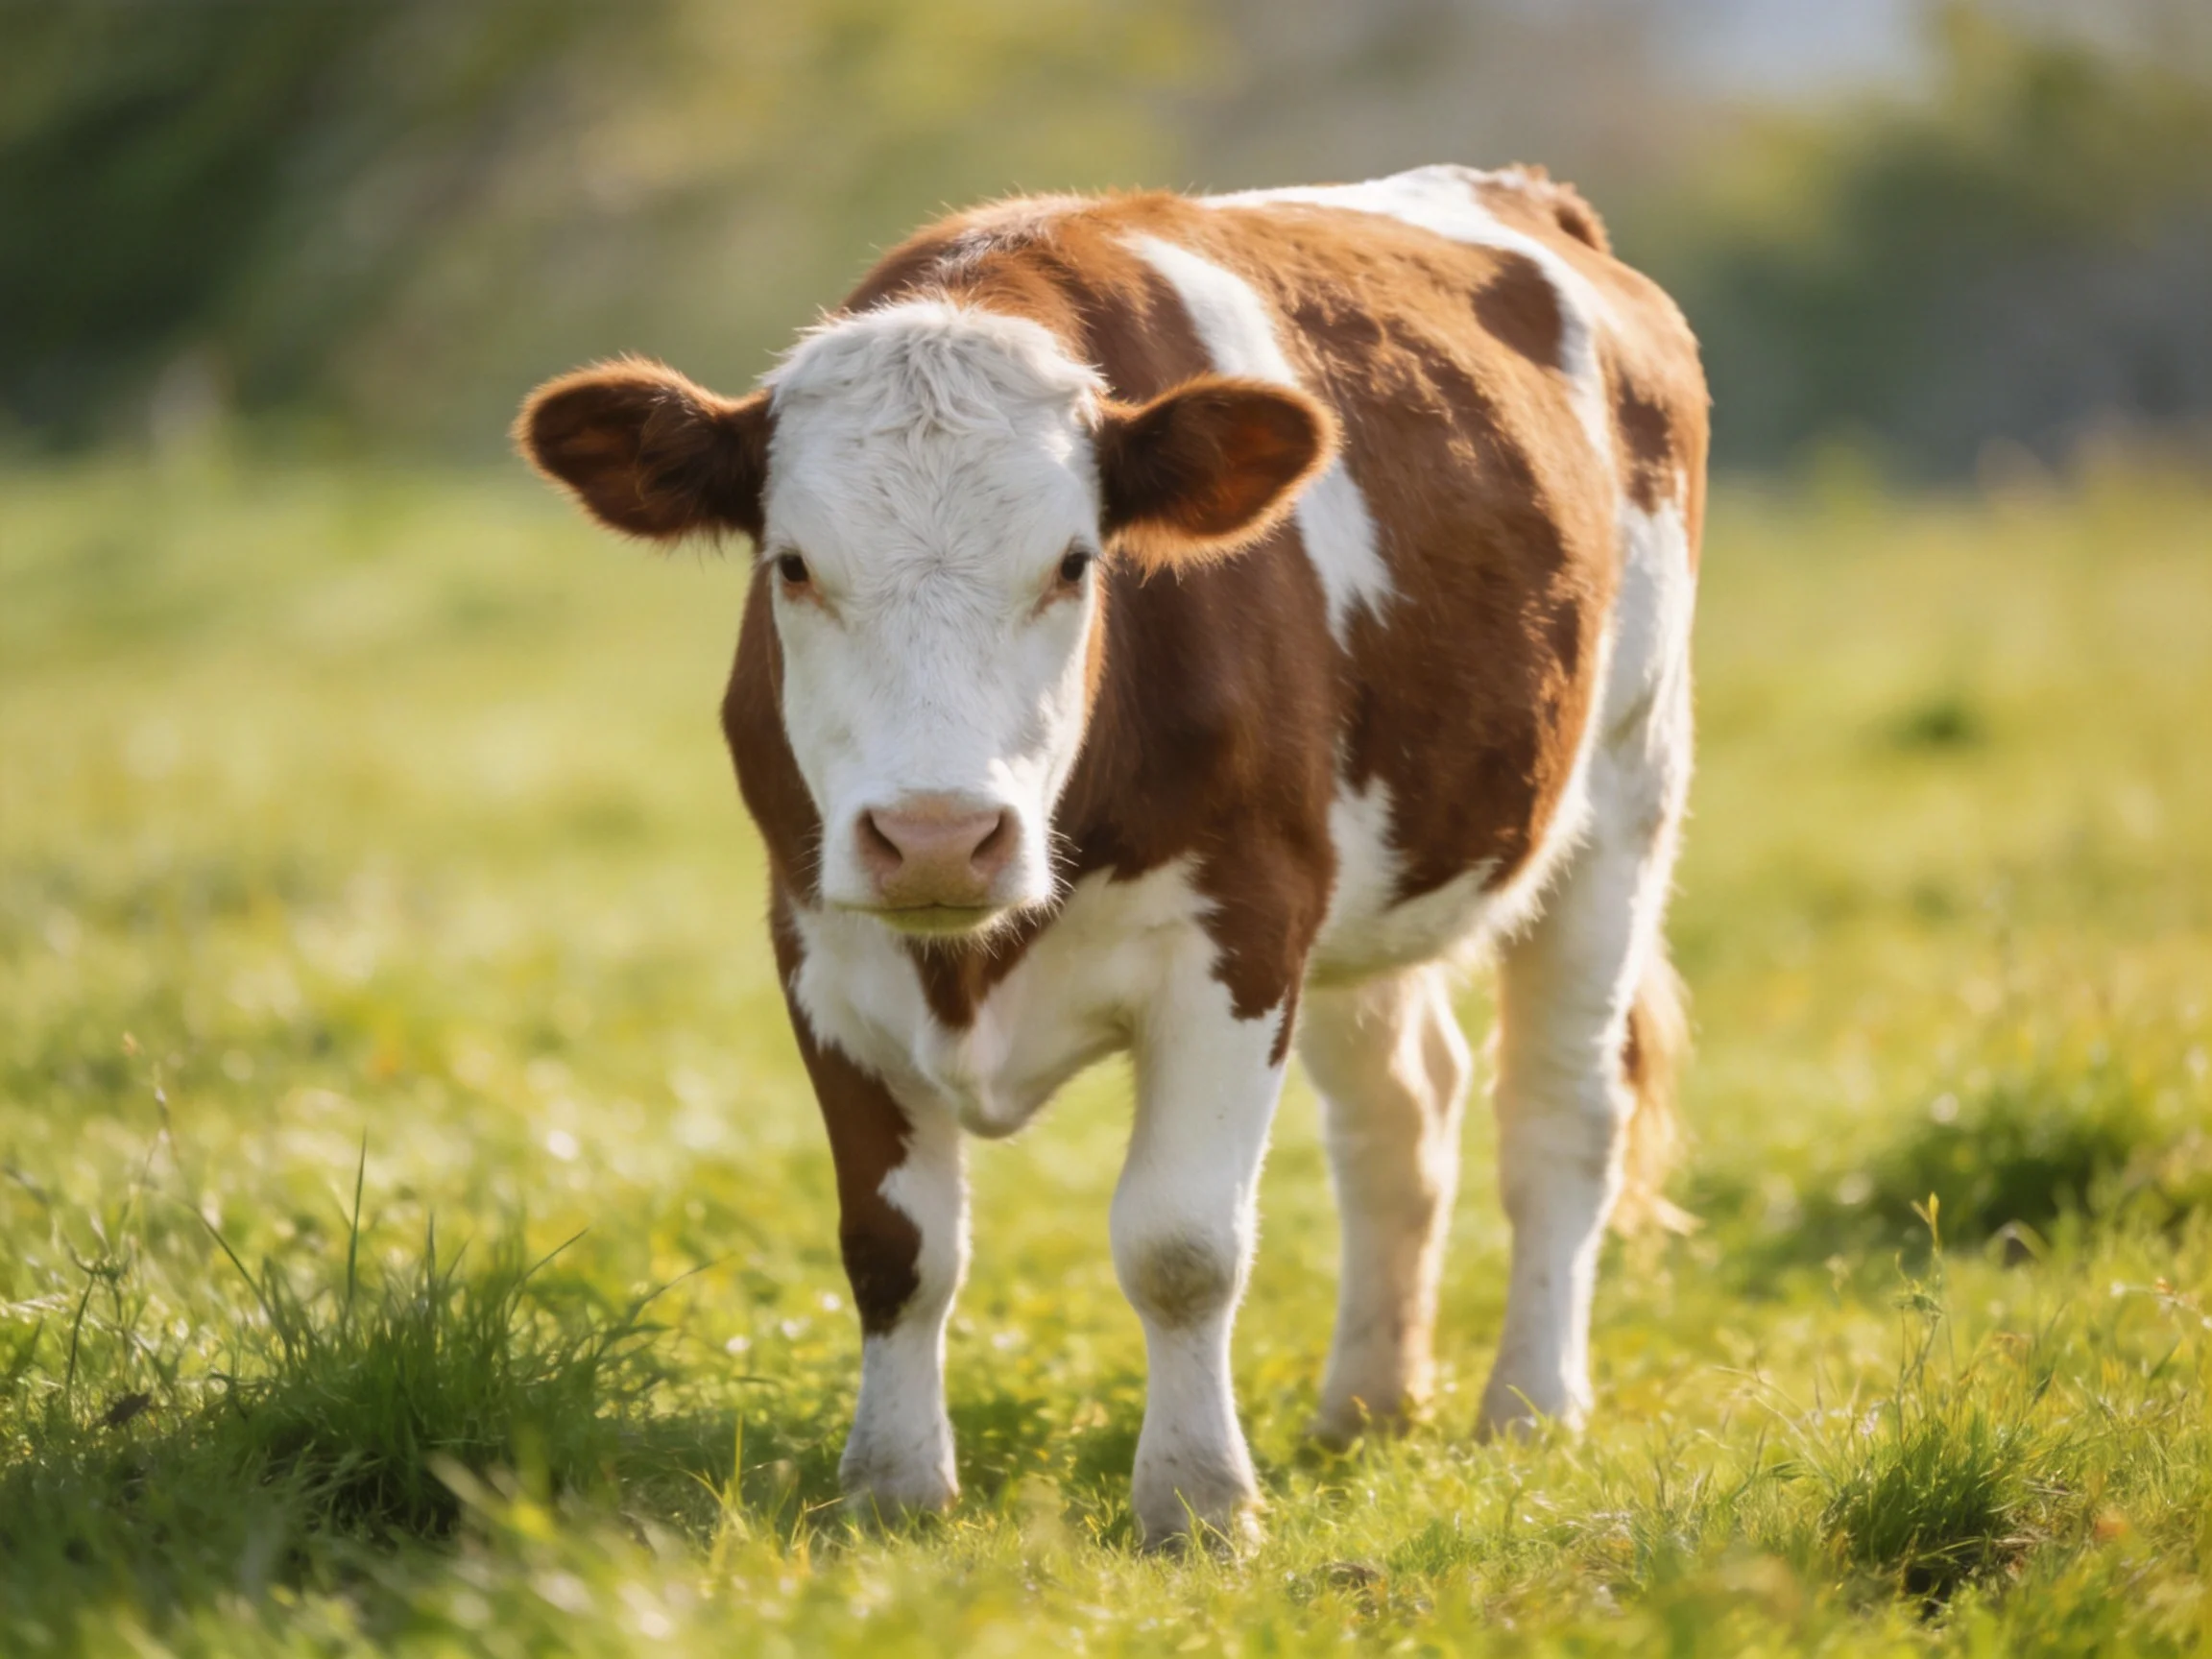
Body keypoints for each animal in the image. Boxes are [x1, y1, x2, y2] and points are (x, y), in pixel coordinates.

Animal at [518, 163, 1705, 1549]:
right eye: (793, 565)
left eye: (1075, 563)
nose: (938, 836)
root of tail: (1524, 193)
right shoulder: (816, 941)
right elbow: (894, 1249)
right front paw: (892, 1491)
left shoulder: (1243, 932)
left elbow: (1182, 1246)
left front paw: (1197, 1502)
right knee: (1401, 1114)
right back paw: (1365, 1405)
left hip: (1623, 792)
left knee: (1562, 1112)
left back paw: (1528, 1406)